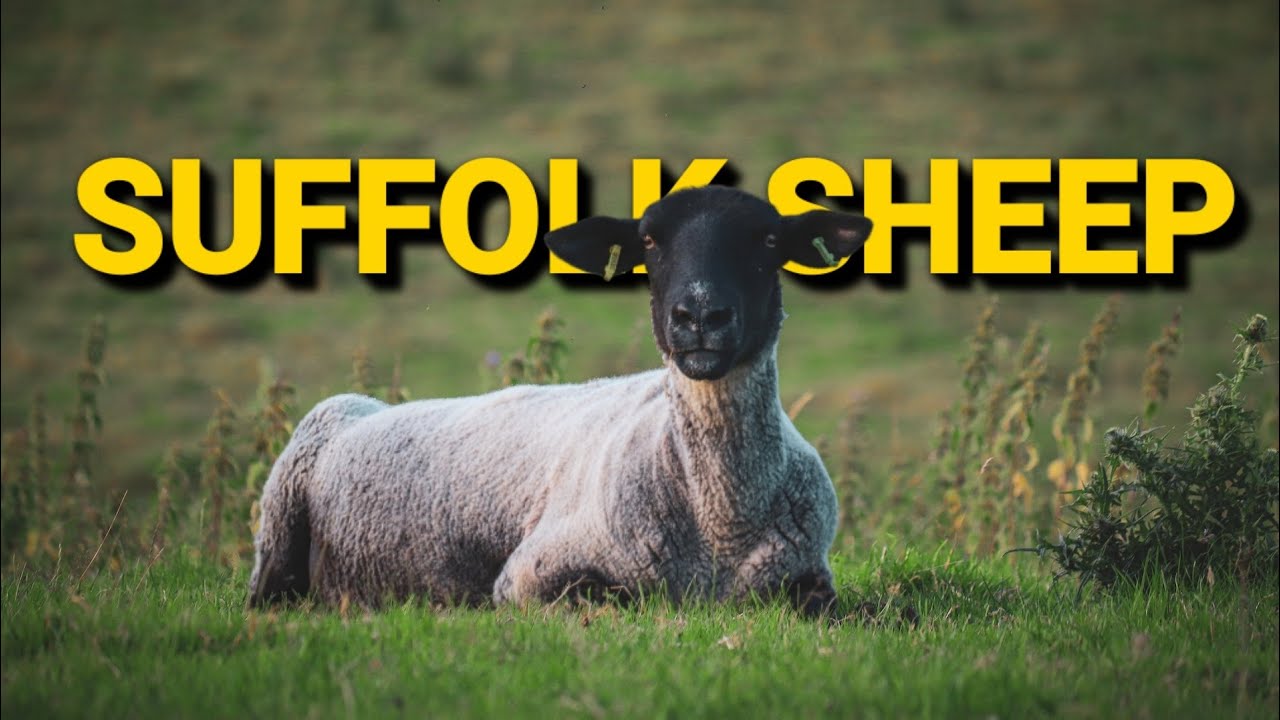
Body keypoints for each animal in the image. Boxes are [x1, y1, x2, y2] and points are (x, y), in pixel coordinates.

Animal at [248, 185, 873, 617]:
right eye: (649, 241)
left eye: (769, 241)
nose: (699, 316)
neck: (718, 525)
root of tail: (365, 405)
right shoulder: (530, 573)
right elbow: (609, 597)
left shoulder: (808, 578)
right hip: (277, 529)